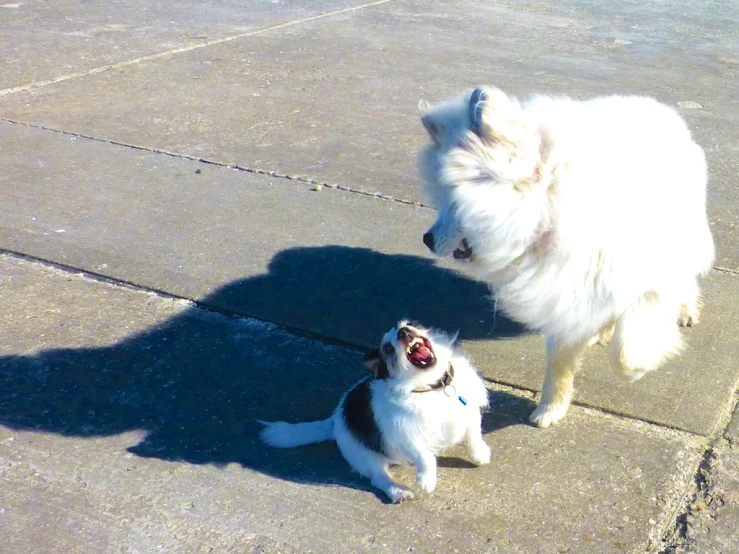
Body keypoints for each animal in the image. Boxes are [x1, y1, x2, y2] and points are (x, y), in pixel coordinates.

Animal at [260, 320, 492, 500]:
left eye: (410, 323)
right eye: (388, 348)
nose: (403, 332)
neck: (433, 387)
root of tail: (334, 419)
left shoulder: (470, 414)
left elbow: (473, 435)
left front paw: (479, 454)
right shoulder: (404, 438)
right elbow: (426, 456)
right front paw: (426, 479)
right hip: (365, 456)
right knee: (379, 478)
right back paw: (398, 491)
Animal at [422, 86, 716, 426]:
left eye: (455, 200)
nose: (427, 239)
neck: (551, 211)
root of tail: (656, 106)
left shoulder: (649, 283)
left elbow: (626, 354)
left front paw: (638, 366)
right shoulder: (564, 293)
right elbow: (559, 363)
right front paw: (551, 408)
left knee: (686, 278)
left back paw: (685, 310)